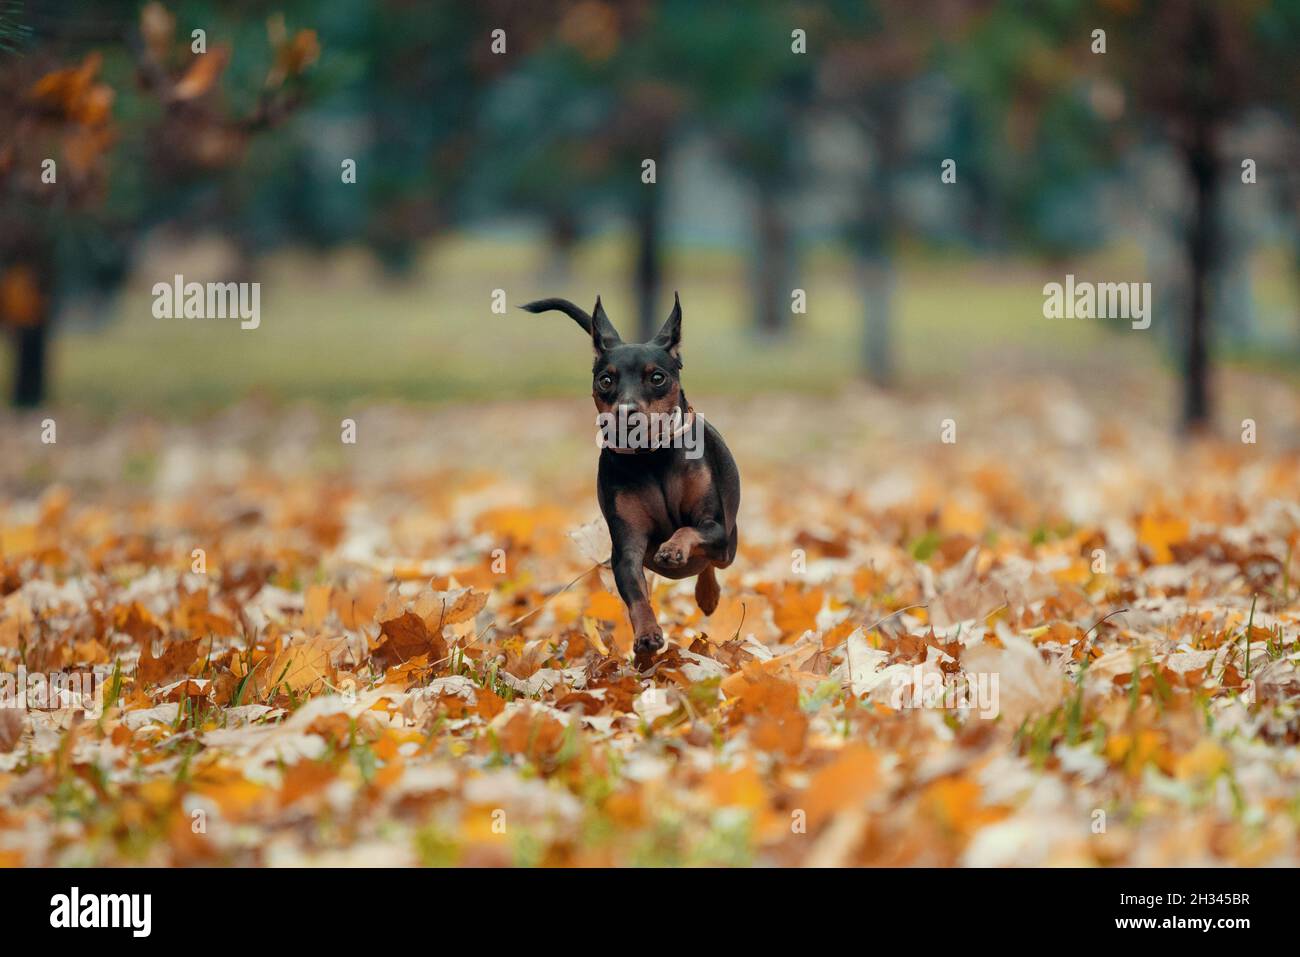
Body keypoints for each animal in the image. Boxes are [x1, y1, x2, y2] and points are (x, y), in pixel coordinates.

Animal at [520, 295, 743, 660]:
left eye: (657, 377)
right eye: (606, 381)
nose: (626, 412)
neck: (652, 457)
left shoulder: (716, 528)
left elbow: (689, 529)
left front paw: (673, 549)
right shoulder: (626, 548)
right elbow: (636, 594)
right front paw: (647, 634)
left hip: (729, 548)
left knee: (712, 563)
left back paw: (707, 595)